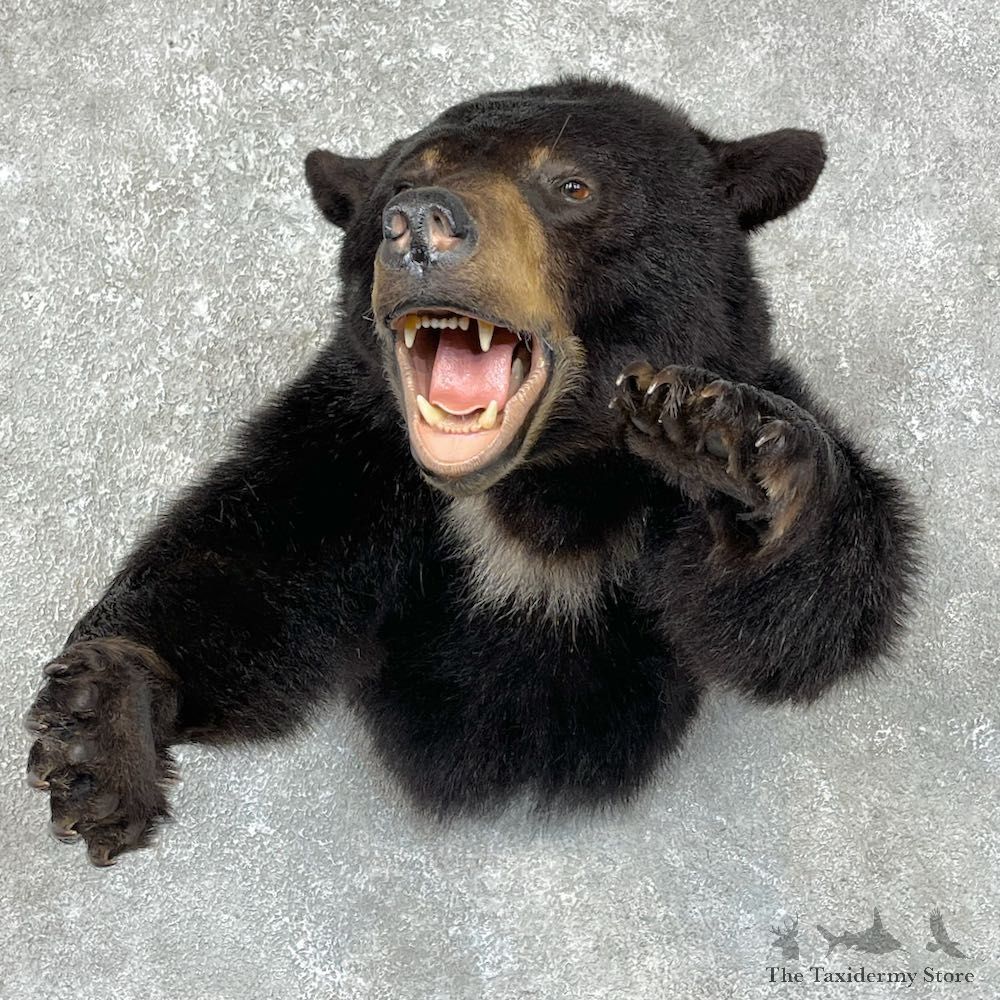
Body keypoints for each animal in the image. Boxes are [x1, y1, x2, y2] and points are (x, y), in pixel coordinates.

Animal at [25, 78, 916, 867]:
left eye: (571, 184)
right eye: (402, 181)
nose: (419, 223)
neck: (537, 487)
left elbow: (808, 615)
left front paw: (737, 449)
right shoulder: (351, 456)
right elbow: (245, 569)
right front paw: (97, 729)